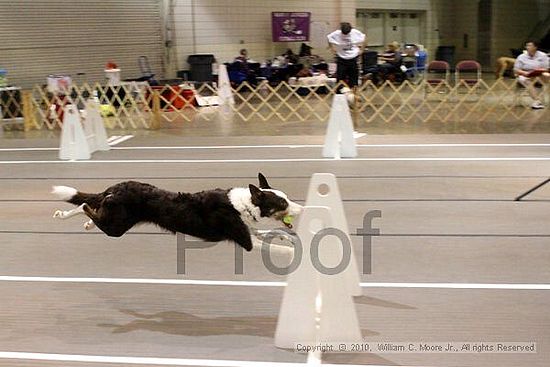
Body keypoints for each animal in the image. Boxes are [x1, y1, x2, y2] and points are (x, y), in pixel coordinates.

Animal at [51, 174, 302, 252]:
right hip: (117, 228)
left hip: (116, 219)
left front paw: (290, 238)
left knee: (92, 207)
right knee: (86, 206)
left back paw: (74, 219)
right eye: (282, 202)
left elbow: (275, 233)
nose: (301, 208)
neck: (244, 203)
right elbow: (275, 245)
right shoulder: (245, 241)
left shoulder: (250, 230)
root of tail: (115, 188)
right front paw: (291, 254)